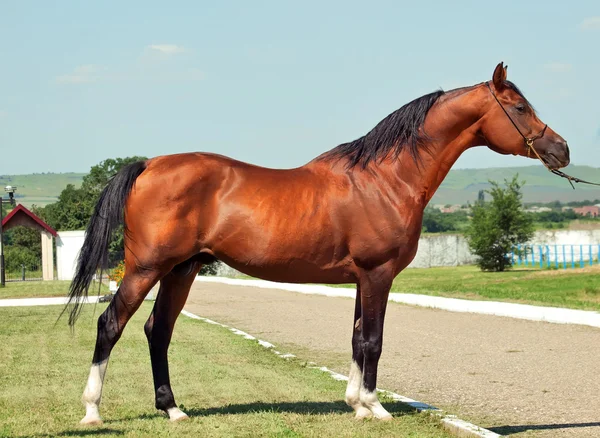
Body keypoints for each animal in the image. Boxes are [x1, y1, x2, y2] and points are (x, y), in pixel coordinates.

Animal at [68, 62, 568, 424]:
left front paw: (355, 404)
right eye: (518, 108)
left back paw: (173, 409)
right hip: (147, 268)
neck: (386, 179)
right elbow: (373, 340)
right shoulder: (378, 273)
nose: (562, 150)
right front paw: (376, 408)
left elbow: (356, 338)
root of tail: (149, 165)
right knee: (110, 324)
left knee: (159, 330)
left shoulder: (361, 278)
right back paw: (92, 411)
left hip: (181, 270)